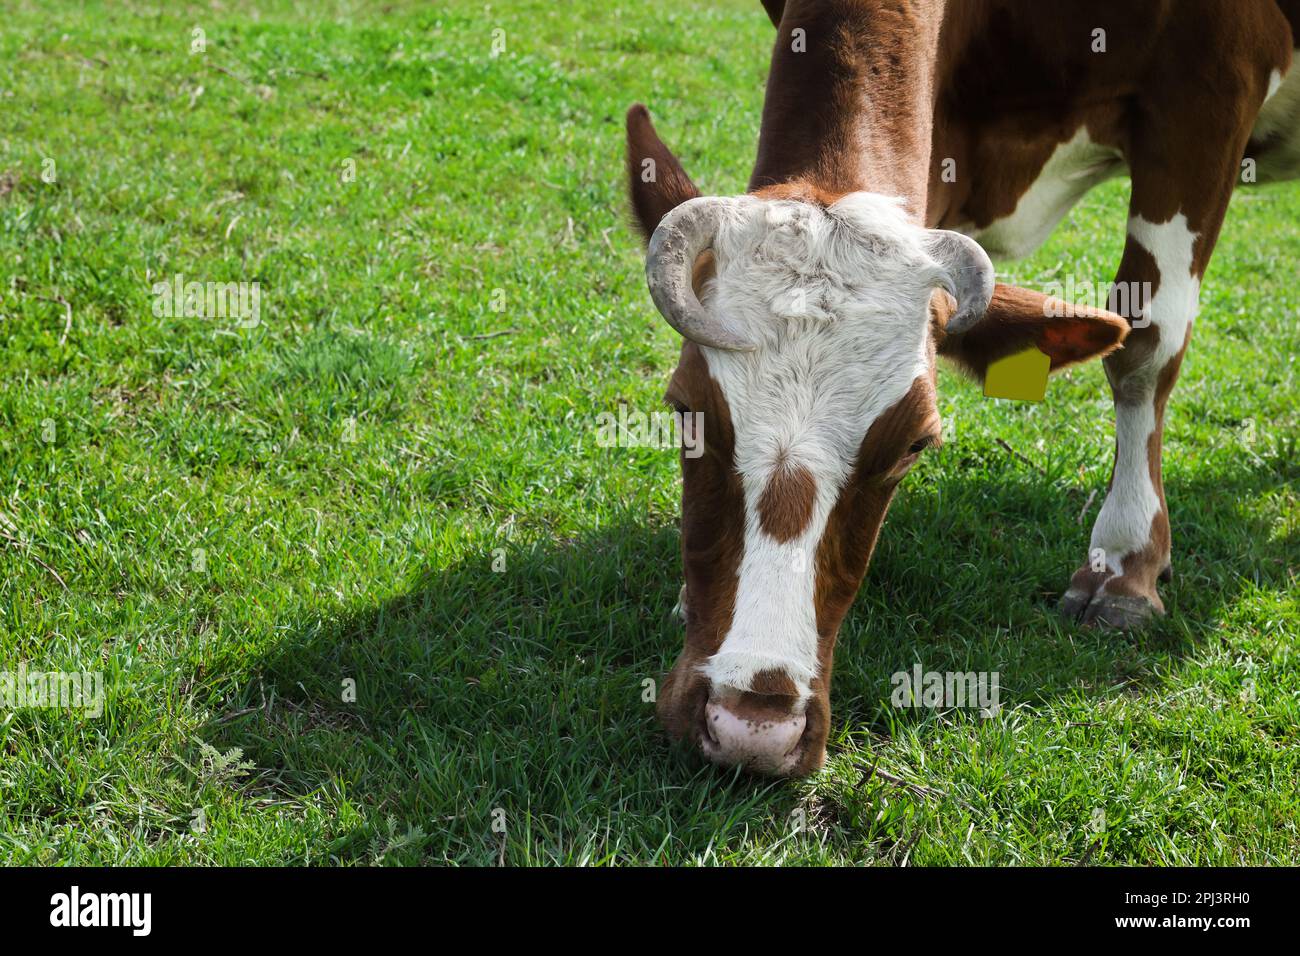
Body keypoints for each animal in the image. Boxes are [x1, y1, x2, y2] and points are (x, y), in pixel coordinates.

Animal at [625, 0, 1300, 776]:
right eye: (685, 412)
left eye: (916, 445)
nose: (751, 727)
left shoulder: (1209, 92)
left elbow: (1145, 343)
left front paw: (1127, 563)